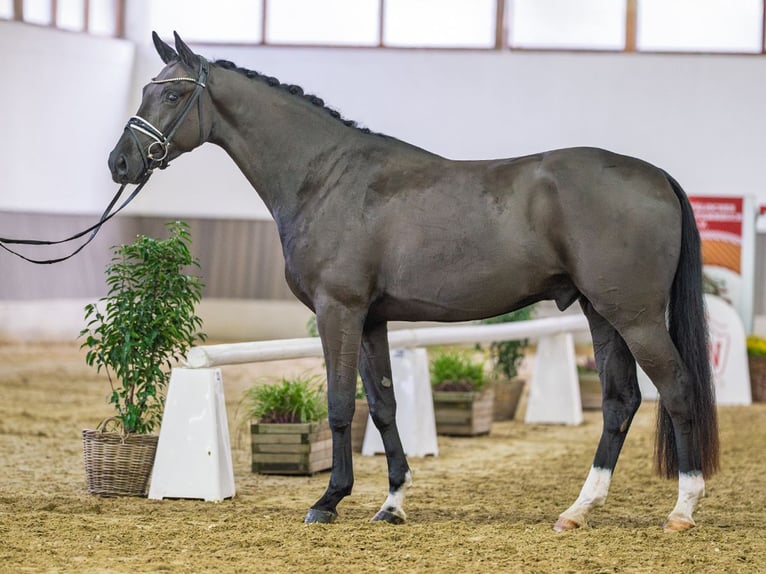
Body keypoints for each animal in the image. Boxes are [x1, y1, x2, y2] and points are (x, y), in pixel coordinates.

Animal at [108, 32, 719, 532]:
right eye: (145, 90)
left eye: (171, 95)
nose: (120, 163)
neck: (326, 177)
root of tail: (656, 177)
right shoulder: (372, 318)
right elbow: (382, 406)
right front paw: (393, 502)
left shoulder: (339, 310)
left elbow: (339, 404)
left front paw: (328, 500)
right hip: (601, 312)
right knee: (620, 401)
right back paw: (578, 509)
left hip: (635, 317)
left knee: (677, 389)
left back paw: (682, 509)